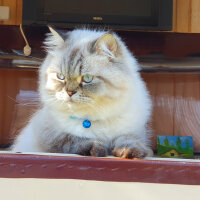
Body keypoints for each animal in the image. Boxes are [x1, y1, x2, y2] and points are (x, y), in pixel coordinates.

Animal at [12, 26, 153, 159]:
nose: (69, 92)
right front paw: (97, 148)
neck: (89, 119)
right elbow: (75, 140)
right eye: (61, 77)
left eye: (87, 78)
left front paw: (129, 152)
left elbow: (128, 140)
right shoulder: (53, 135)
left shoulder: (132, 132)